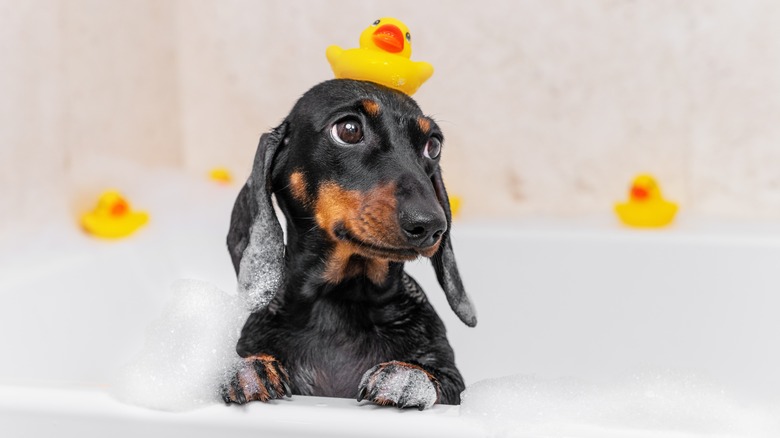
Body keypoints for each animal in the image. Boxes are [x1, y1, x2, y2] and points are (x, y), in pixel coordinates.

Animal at [221, 78, 476, 410]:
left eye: (433, 145)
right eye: (349, 130)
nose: (431, 225)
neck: (341, 300)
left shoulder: (454, 385)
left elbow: (434, 375)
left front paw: (408, 375)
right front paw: (249, 370)